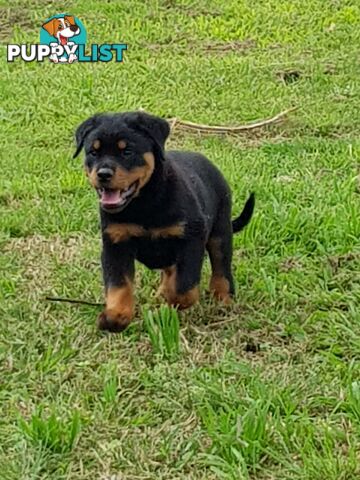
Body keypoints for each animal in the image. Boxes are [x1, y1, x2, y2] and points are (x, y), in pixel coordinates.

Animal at [73, 110, 255, 332]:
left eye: (127, 152)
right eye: (93, 152)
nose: (103, 174)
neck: (143, 204)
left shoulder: (191, 238)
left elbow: (184, 287)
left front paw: (173, 301)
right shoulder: (115, 243)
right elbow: (118, 284)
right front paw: (116, 316)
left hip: (220, 231)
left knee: (221, 268)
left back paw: (223, 299)